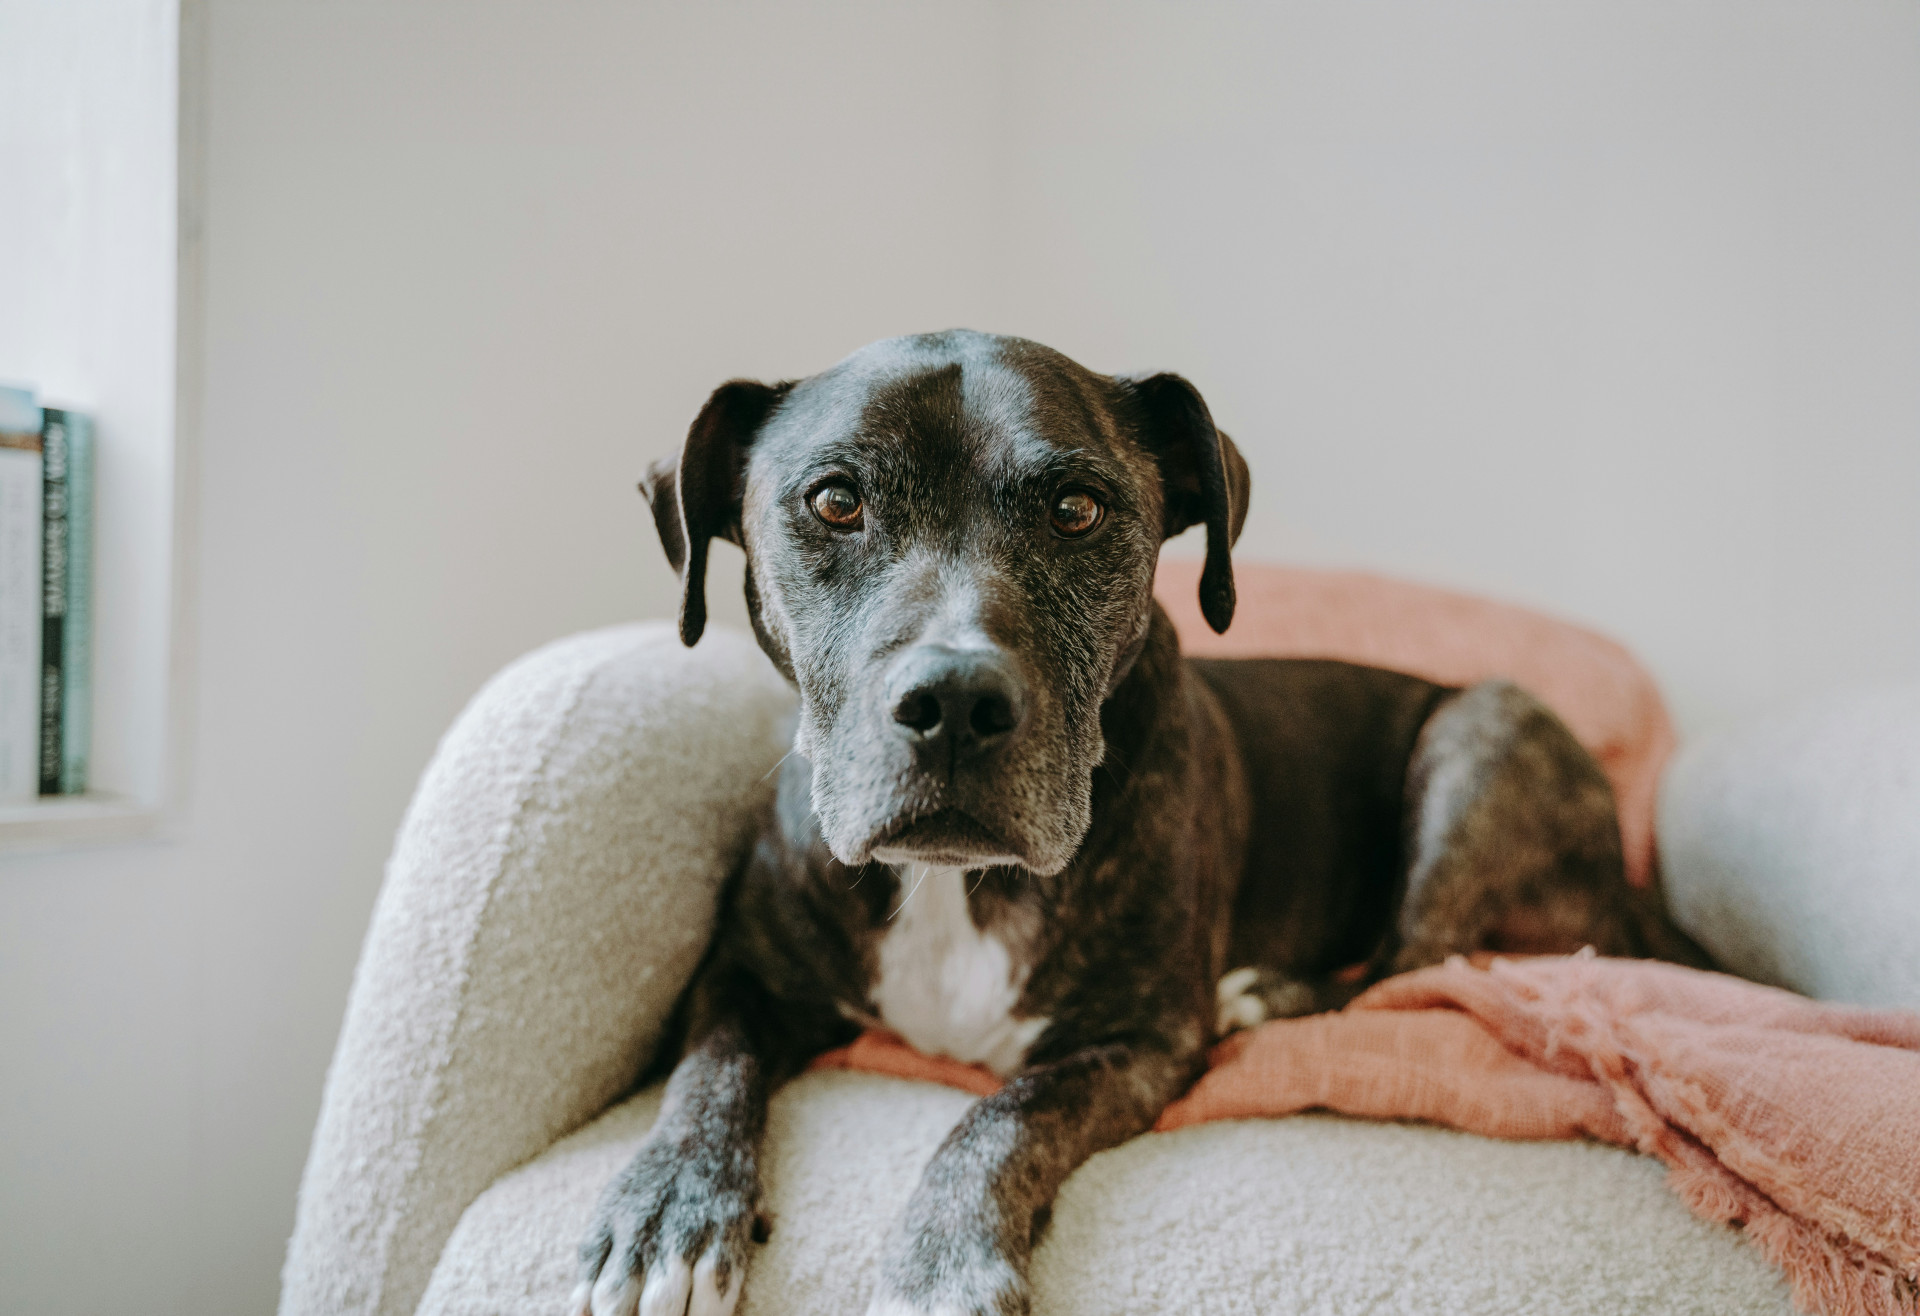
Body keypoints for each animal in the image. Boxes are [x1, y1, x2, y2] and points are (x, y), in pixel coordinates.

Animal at [572, 330, 1706, 1316]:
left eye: (1077, 507)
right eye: (836, 502)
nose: (954, 703)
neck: (953, 885)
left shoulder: (1140, 1042)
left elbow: (1000, 1115)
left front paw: (938, 1265)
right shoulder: (744, 976)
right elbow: (706, 1070)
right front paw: (665, 1213)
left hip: (1483, 728)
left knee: (1412, 961)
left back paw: (1268, 991)